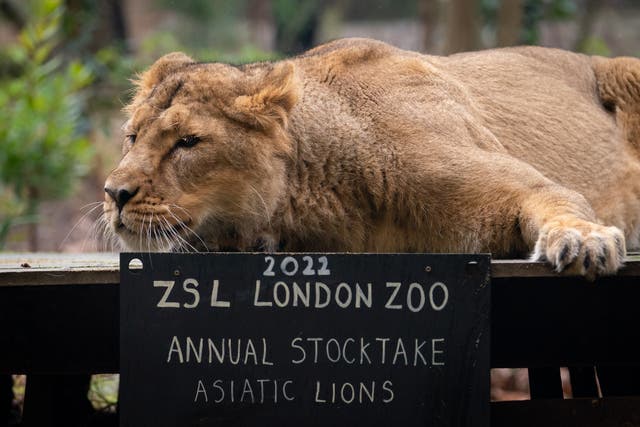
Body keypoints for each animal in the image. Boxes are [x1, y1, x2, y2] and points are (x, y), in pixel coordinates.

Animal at [102, 38, 636, 280]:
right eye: (132, 137)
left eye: (188, 142)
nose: (114, 194)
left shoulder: (525, 185)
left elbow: (559, 201)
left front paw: (585, 241)